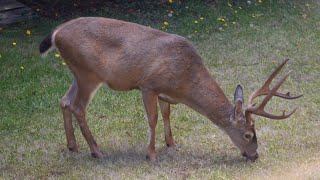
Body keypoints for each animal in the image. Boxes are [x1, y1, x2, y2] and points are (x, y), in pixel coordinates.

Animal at [38, 17, 302, 162]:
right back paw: (97, 151)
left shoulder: (166, 93)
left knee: (64, 101)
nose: (255, 155)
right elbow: (152, 119)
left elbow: (167, 115)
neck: (185, 81)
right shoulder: (148, 85)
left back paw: (73, 146)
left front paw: (172, 144)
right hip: (88, 74)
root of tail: (57, 32)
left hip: (78, 73)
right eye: (248, 135)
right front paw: (151, 155)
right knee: (78, 107)